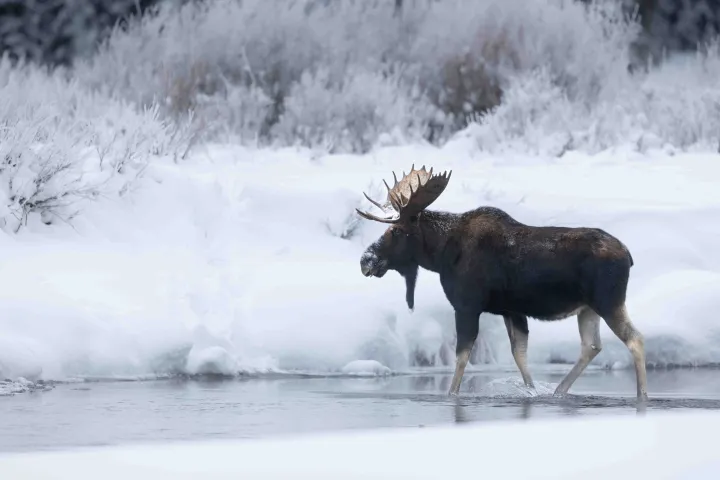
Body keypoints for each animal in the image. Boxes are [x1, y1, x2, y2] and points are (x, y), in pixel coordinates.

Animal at [355, 165, 648, 402]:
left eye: (396, 230)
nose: (366, 260)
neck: (441, 255)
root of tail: (629, 256)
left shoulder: (467, 306)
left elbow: (462, 357)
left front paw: (451, 396)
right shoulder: (512, 310)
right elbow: (520, 356)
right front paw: (532, 392)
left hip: (608, 301)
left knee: (635, 339)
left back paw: (641, 395)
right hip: (587, 308)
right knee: (592, 346)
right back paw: (559, 391)